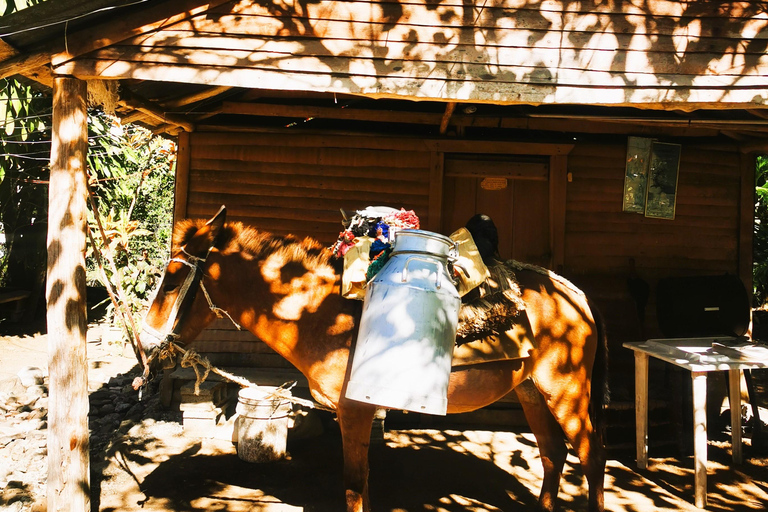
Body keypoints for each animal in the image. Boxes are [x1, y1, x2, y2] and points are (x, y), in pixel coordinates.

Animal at [140, 207, 608, 512]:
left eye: (174, 279)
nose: (145, 345)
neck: (321, 313)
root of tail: (576, 293)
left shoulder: (354, 411)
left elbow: (352, 487)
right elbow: (361, 485)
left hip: (566, 393)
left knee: (591, 456)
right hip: (532, 391)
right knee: (553, 454)